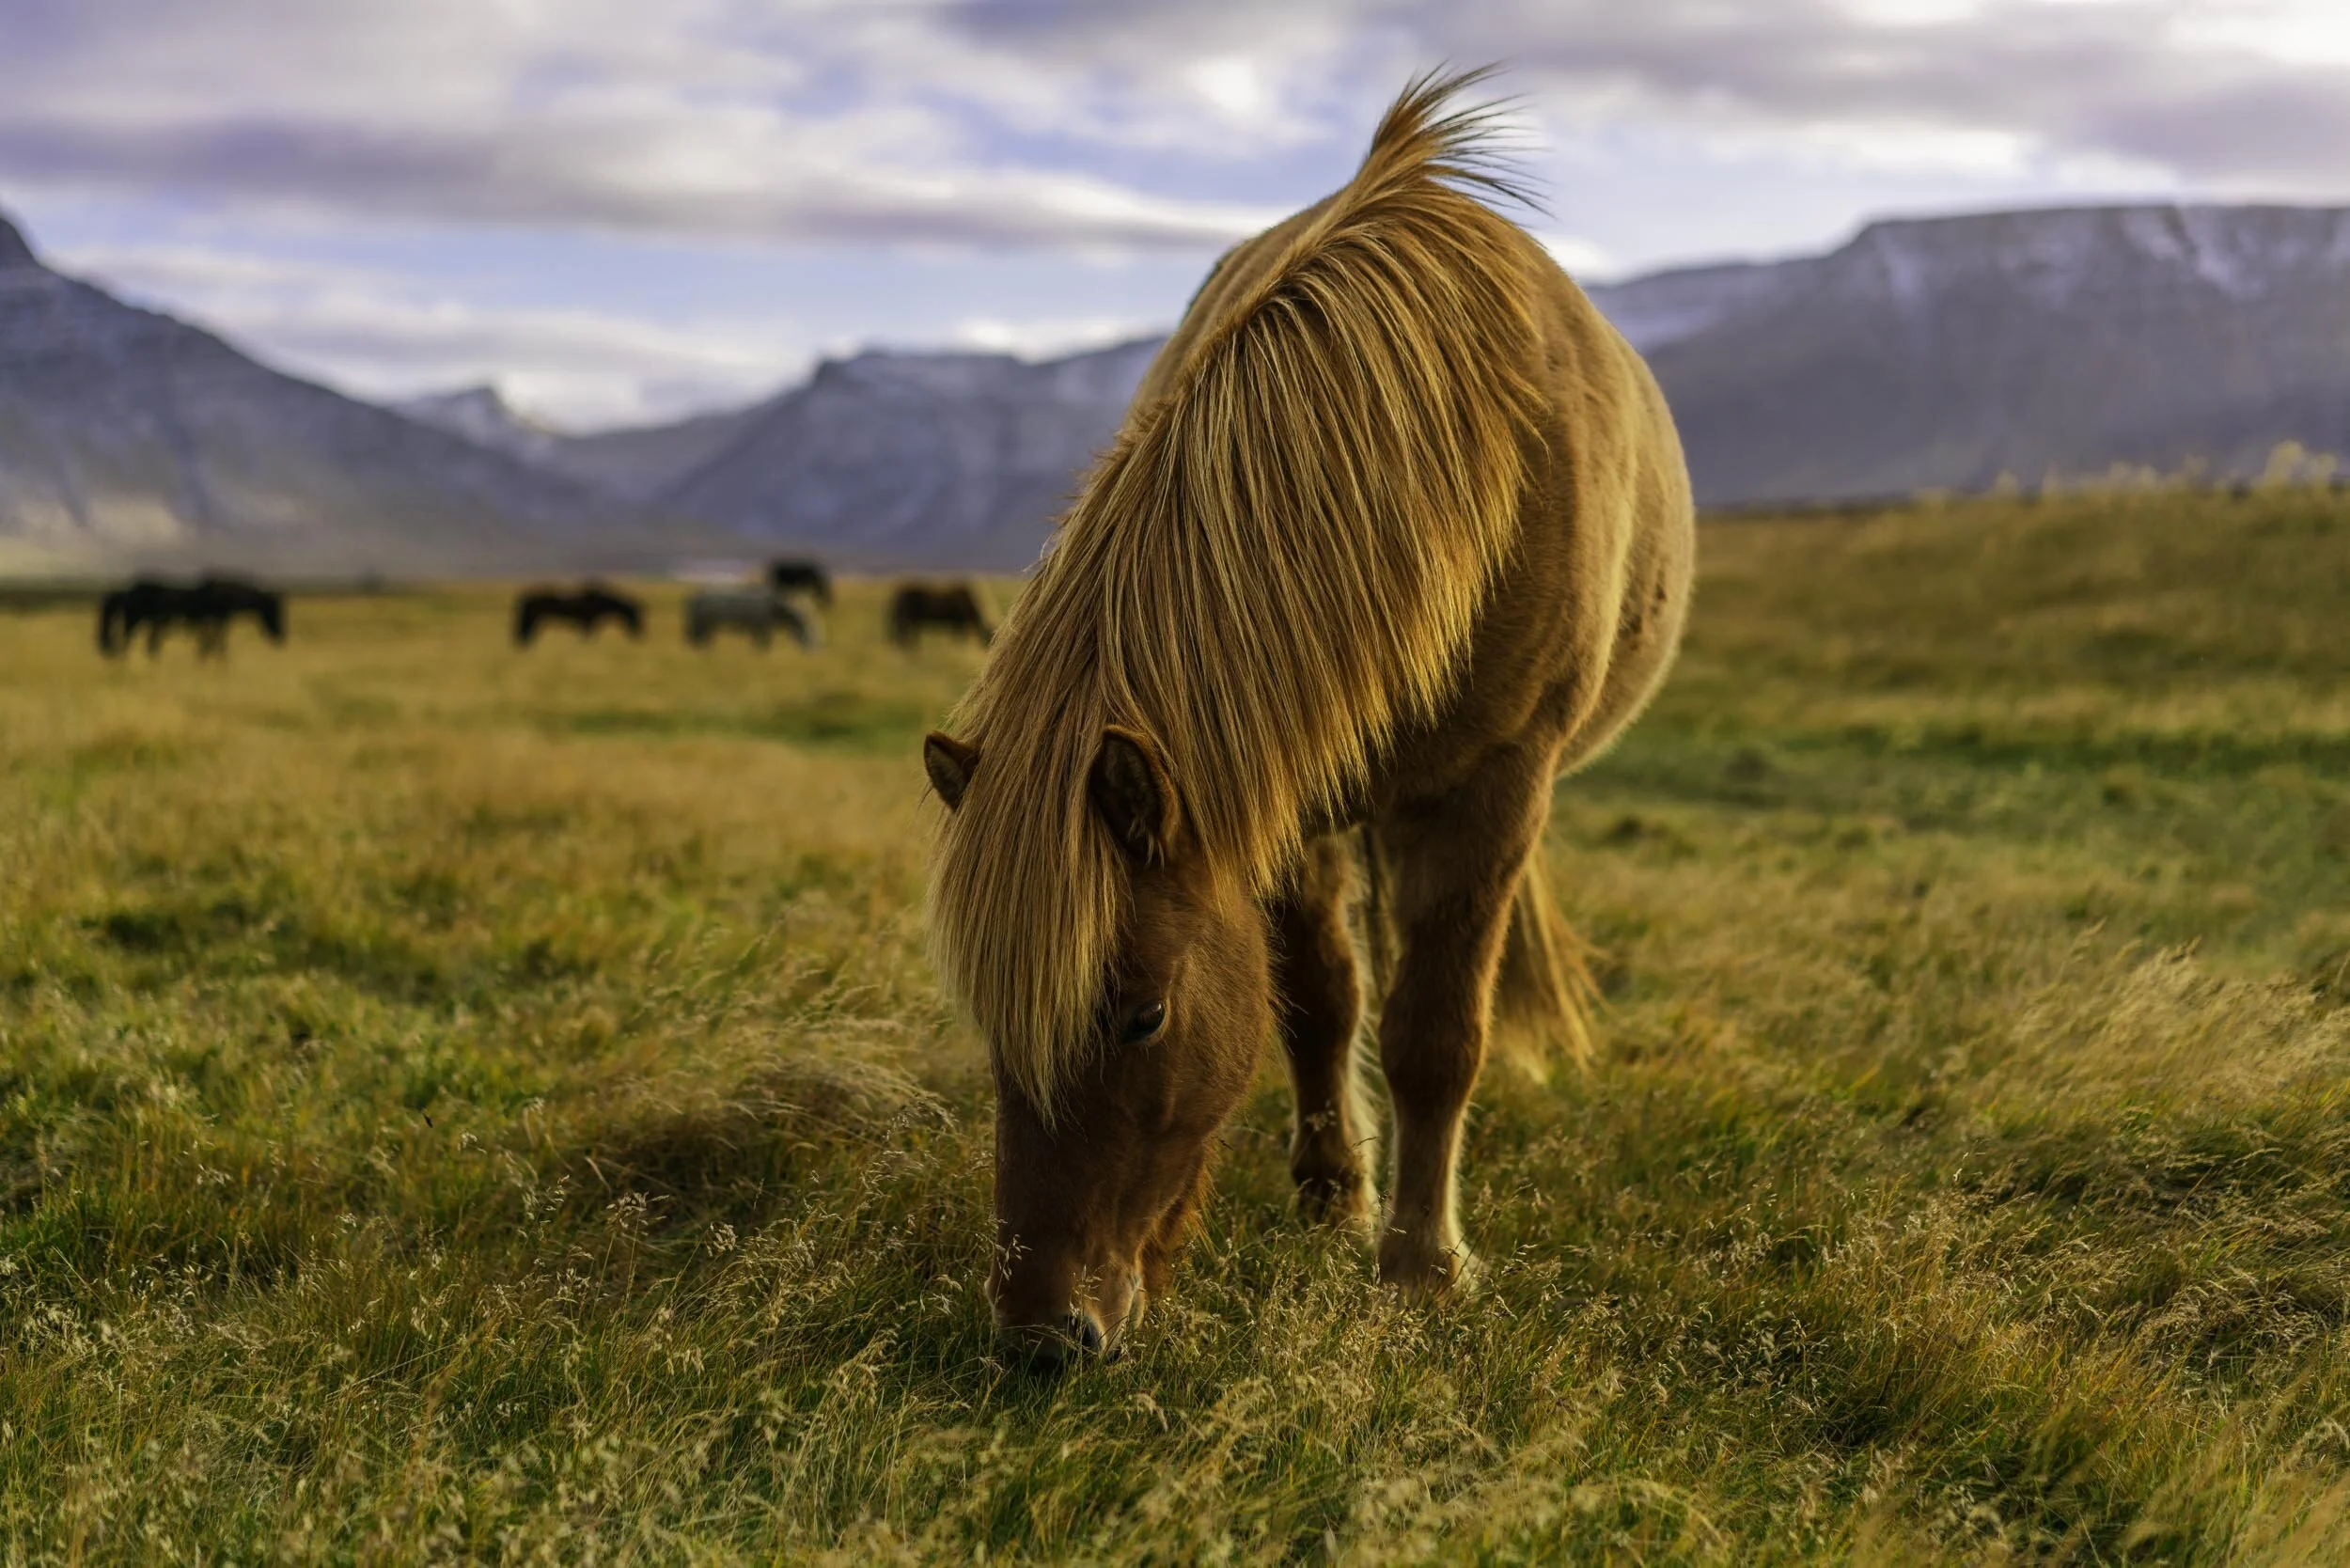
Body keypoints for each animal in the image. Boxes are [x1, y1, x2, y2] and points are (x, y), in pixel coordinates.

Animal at [98, 575, 286, 658]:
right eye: (274, 611)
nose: (282, 638)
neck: (224, 596)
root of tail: (128, 592)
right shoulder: (217, 621)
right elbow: (216, 641)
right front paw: (214, 659)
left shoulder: (214, 622)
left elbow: (212, 641)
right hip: (134, 620)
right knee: (127, 639)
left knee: (142, 643)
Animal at [513, 583, 643, 646]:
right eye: (636, 617)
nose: (641, 635)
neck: (603, 603)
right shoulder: (588, 623)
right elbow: (586, 639)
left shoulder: (588, 624)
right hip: (530, 620)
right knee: (523, 632)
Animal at [686, 586, 814, 650]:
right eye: (802, 625)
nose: (809, 645)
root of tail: (693, 599)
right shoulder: (762, 628)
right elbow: (763, 643)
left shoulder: (758, 629)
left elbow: (760, 642)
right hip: (701, 624)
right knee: (694, 637)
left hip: (705, 625)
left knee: (698, 637)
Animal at [921, 71, 1695, 1370]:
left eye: (1140, 1017)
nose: (1038, 1336)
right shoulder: (1276, 800)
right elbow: (1319, 1000)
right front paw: (1337, 1192)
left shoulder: (1490, 788)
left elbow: (1434, 1034)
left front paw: (1422, 1268)